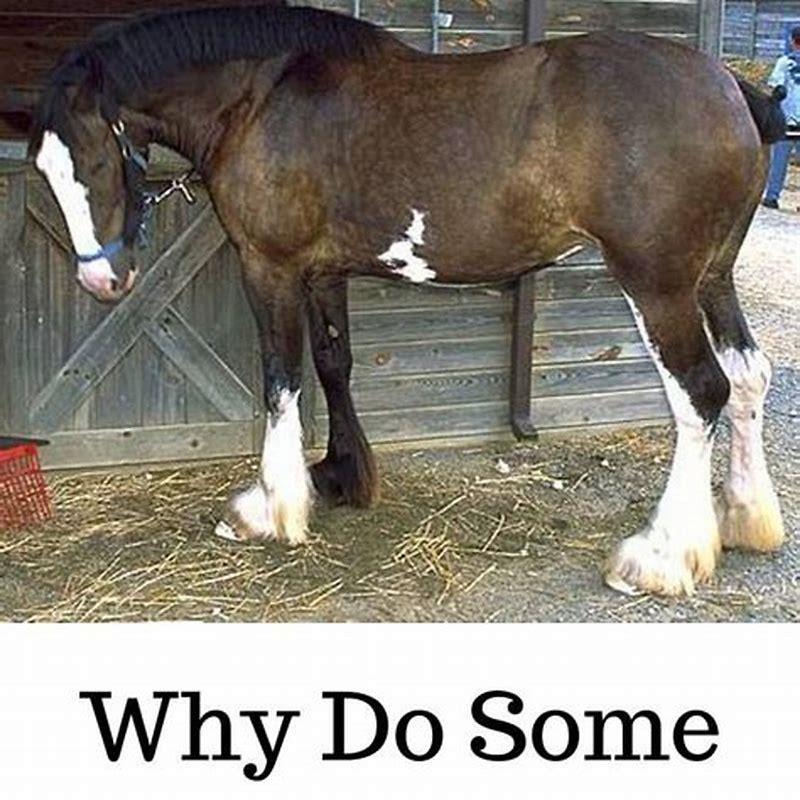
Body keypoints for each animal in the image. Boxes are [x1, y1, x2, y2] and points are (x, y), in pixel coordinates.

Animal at [29, 4, 786, 597]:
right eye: (43, 169)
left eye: (93, 161)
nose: (102, 283)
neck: (261, 97)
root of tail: (729, 85)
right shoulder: (322, 271)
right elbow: (333, 365)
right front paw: (340, 477)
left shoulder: (269, 268)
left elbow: (280, 379)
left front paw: (270, 507)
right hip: (712, 279)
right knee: (749, 377)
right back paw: (745, 519)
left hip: (657, 286)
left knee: (701, 392)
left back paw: (661, 556)